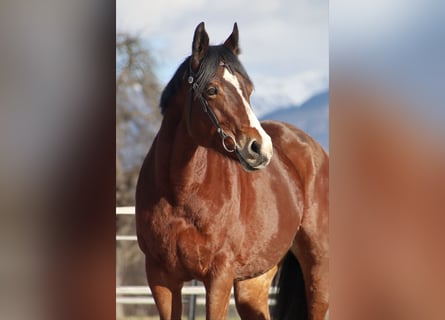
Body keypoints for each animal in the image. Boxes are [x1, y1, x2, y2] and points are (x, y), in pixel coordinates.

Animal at [134, 22, 328, 320]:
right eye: (212, 90)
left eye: (248, 89)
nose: (261, 148)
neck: (180, 192)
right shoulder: (161, 278)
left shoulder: (219, 277)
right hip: (253, 282)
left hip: (318, 269)